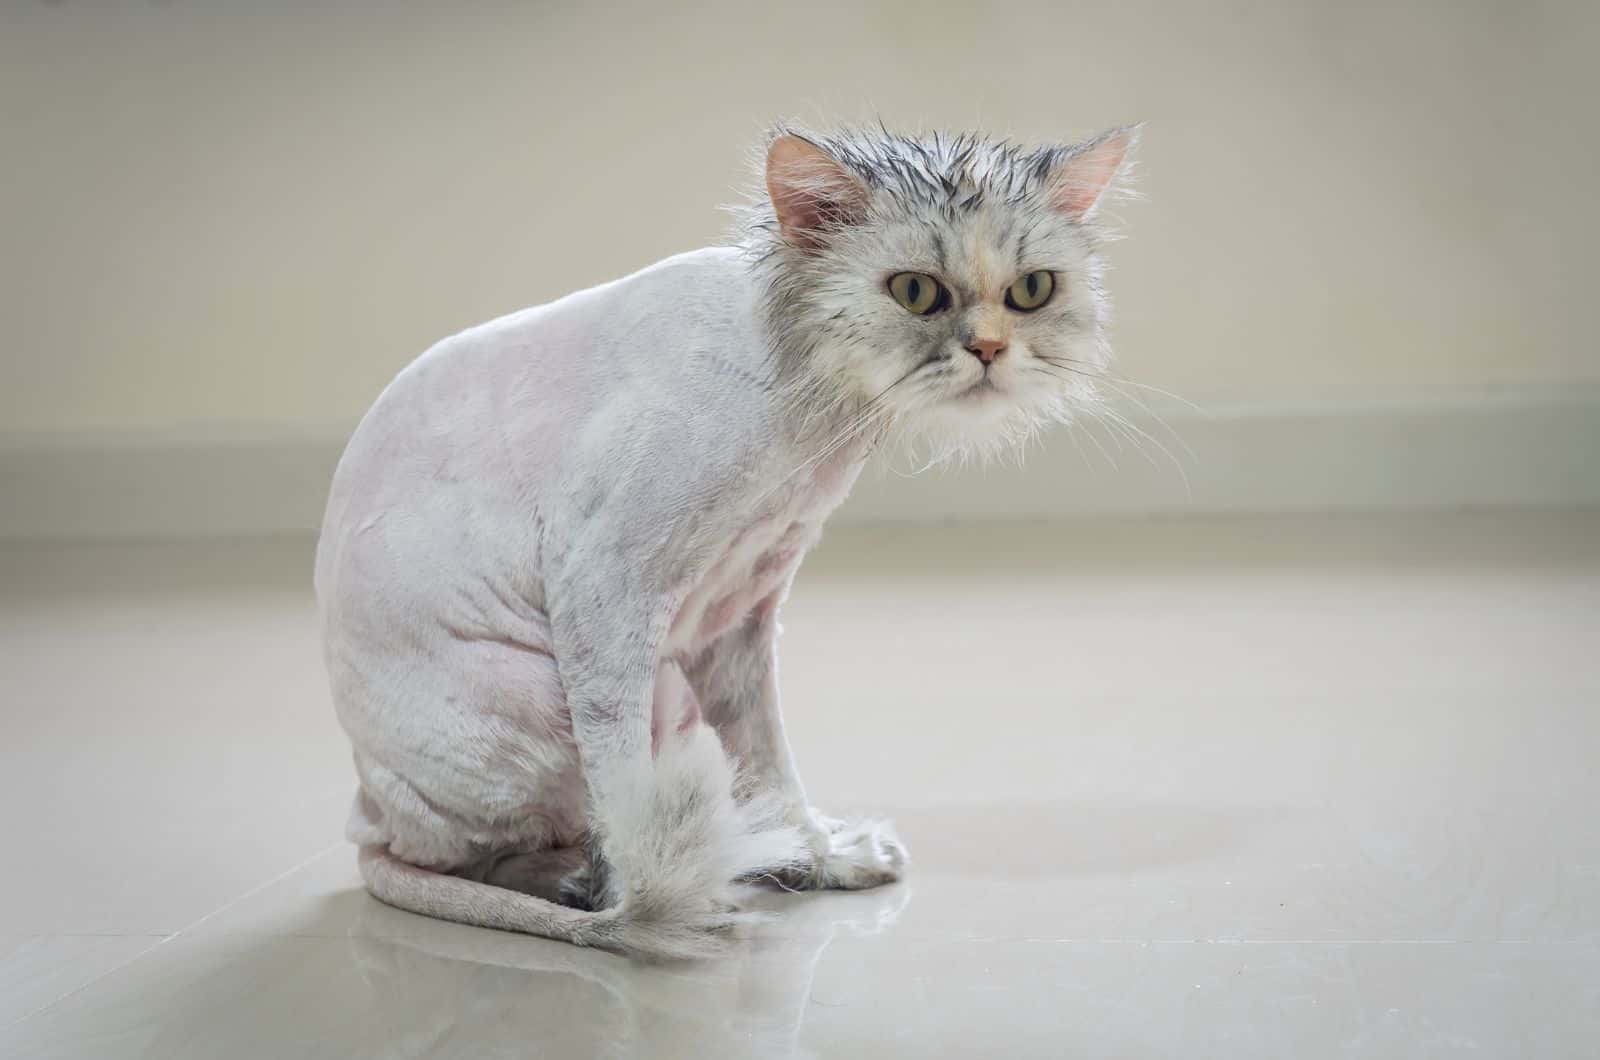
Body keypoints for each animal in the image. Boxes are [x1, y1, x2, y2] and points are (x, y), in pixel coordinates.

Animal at [312, 124, 1139, 960]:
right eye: (915, 292)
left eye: (1031, 291)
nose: (992, 351)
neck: (814, 418)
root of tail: (366, 812)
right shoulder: (604, 588)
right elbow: (629, 791)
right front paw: (660, 897)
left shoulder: (739, 612)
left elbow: (768, 756)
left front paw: (820, 857)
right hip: (541, 695)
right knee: (489, 855)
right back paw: (603, 886)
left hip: (667, 693)